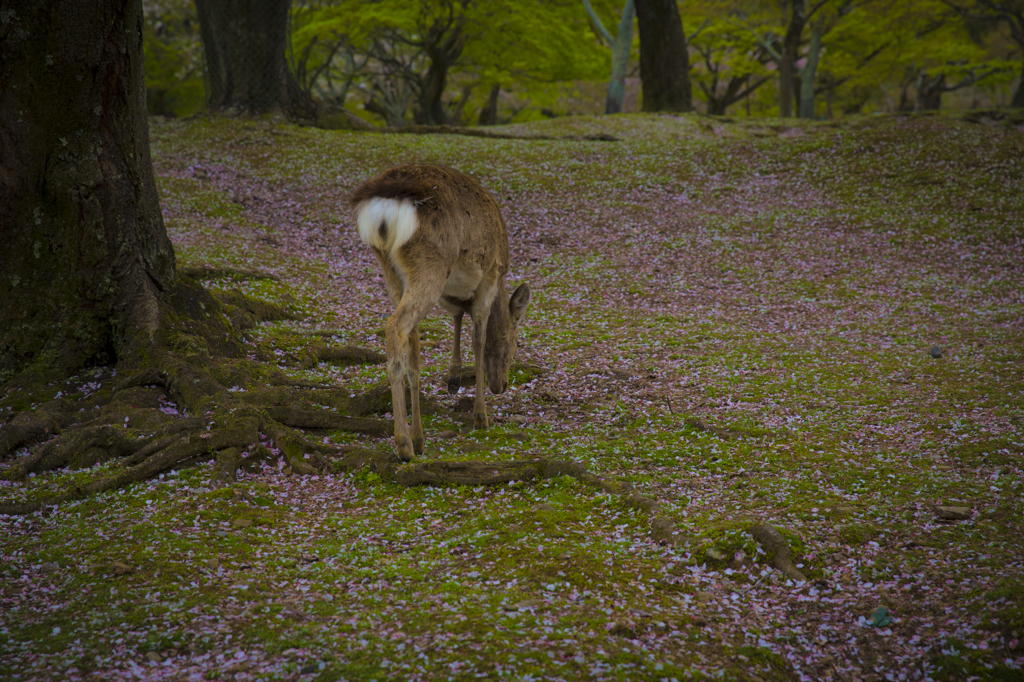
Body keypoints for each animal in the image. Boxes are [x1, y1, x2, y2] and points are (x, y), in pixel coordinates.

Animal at [350, 164, 532, 462]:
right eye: (515, 344)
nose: (501, 386)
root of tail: (384, 210)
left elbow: (456, 317)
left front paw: (453, 377)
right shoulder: (491, 274)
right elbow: (479, 338)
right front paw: (481, 416)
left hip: (391, 269)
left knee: (410, 339)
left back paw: (418, 438)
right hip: (431, 262)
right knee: (396, 326)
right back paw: (404, 444)